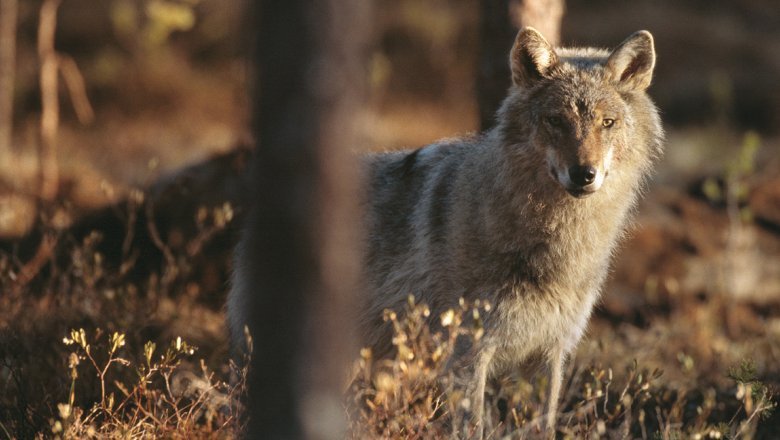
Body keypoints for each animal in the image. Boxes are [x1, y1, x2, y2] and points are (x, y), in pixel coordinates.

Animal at [356, 28, 660, 436]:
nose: (584, 174)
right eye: (555, 121)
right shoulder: (468, 353)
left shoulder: (549, 352)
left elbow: (544, 425)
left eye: (607, 122)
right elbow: (472, 428)